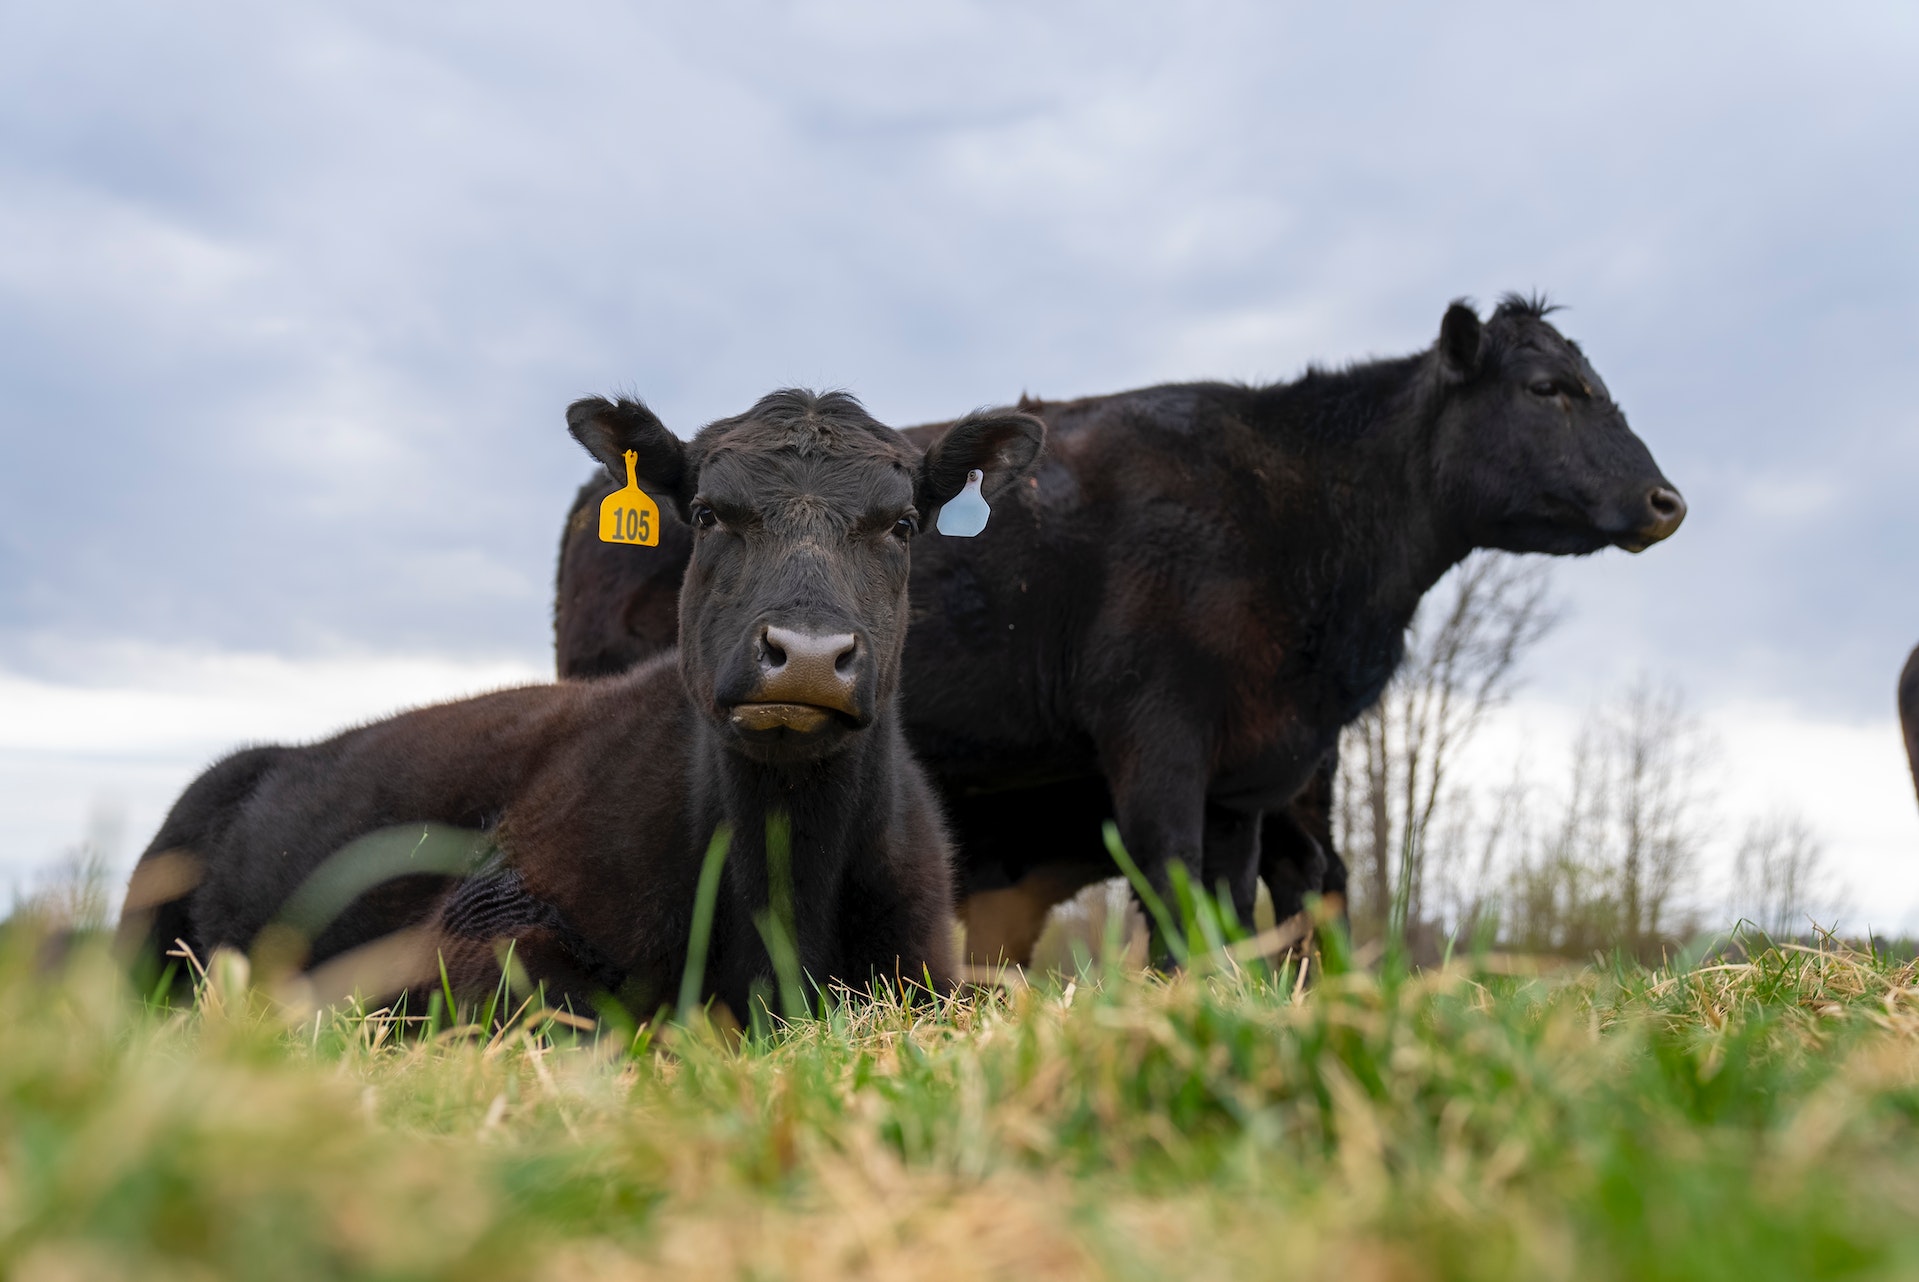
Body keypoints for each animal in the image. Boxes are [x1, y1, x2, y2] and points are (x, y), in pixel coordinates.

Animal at [552, 297, 1681, 959]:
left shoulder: (1251, 775)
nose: (1665, 499)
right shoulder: (1158, 735)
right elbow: (1174, 892)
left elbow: (1229, 905)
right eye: (1547, 389)